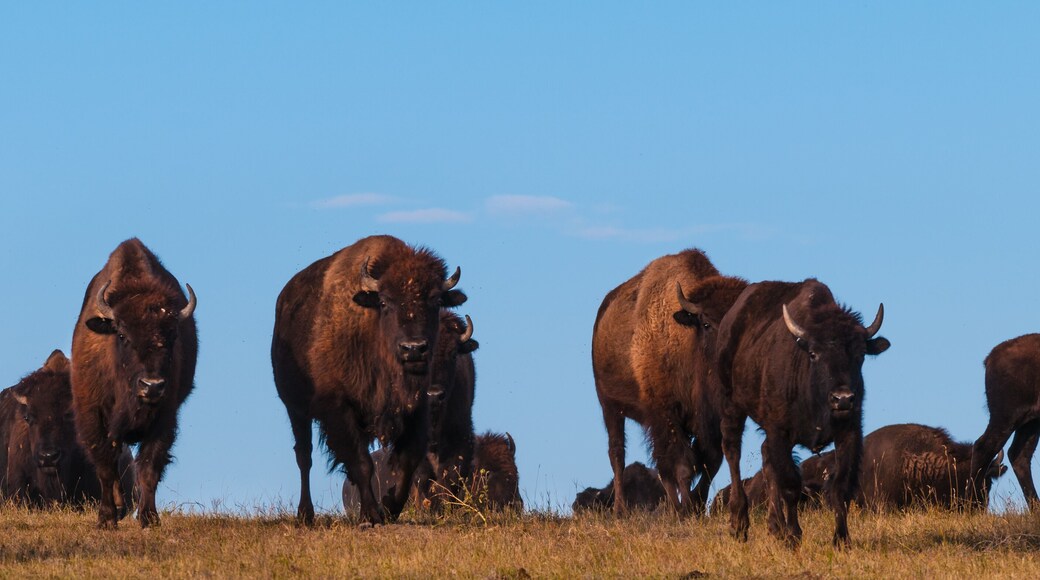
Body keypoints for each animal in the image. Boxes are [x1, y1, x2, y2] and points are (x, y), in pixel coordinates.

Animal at [71, 238, 198, 528]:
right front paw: (106, 518)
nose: (151, 385)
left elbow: (149, 467)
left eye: (172, 336)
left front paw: (149, 518)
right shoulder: (93, 414)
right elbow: (106, 467)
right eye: (122, 335)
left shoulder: (165, 418)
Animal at [273, 235, 466, 525]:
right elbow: (361, 462)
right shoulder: (340, 408)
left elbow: (407, 461)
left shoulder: (414, 408)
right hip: (295, 409)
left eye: (434, 300)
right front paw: (372, 515)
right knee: (304, 455)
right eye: (385, 302)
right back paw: (305, 514)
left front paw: (389, 508)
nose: (413, 349)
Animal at [592, 249, 747, 516]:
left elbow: (710, 461)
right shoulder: (666, 414)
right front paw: (685, 509)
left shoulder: (711, 420)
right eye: (706, 323)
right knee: (618, 454)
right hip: (610, 408)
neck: (687, 342)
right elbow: (682, 465)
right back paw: (621, 509)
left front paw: (696, 504)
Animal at [713, 279, 888, 547]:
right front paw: (793, 536)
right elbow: (791, 486)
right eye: (814, 354)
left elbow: (840, 487)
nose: (843, 398)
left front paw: (841, 540)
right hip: (731, 406)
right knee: (733, 452)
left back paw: (775, 526)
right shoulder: (779, 431)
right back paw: (739, 525)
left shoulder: (849, 433)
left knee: (766, 458)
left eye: (860, 355)